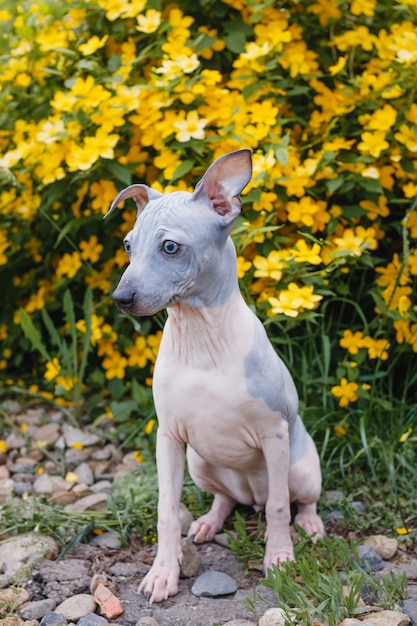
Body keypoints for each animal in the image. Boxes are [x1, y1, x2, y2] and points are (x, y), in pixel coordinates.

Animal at [105, 149, 324, 604]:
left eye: (170, 247)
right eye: (128, 245)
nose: (121, 299)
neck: (200, 337)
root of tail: (250, 495)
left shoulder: (274, 435)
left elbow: (280, 507)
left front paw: (279, 558)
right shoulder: (168, 439)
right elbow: (166, 512)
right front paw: (163, 573)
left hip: (301, 467)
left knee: (294, 500)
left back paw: (310, 525)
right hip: (199, 461)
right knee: (224, 499)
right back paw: (208, 522)